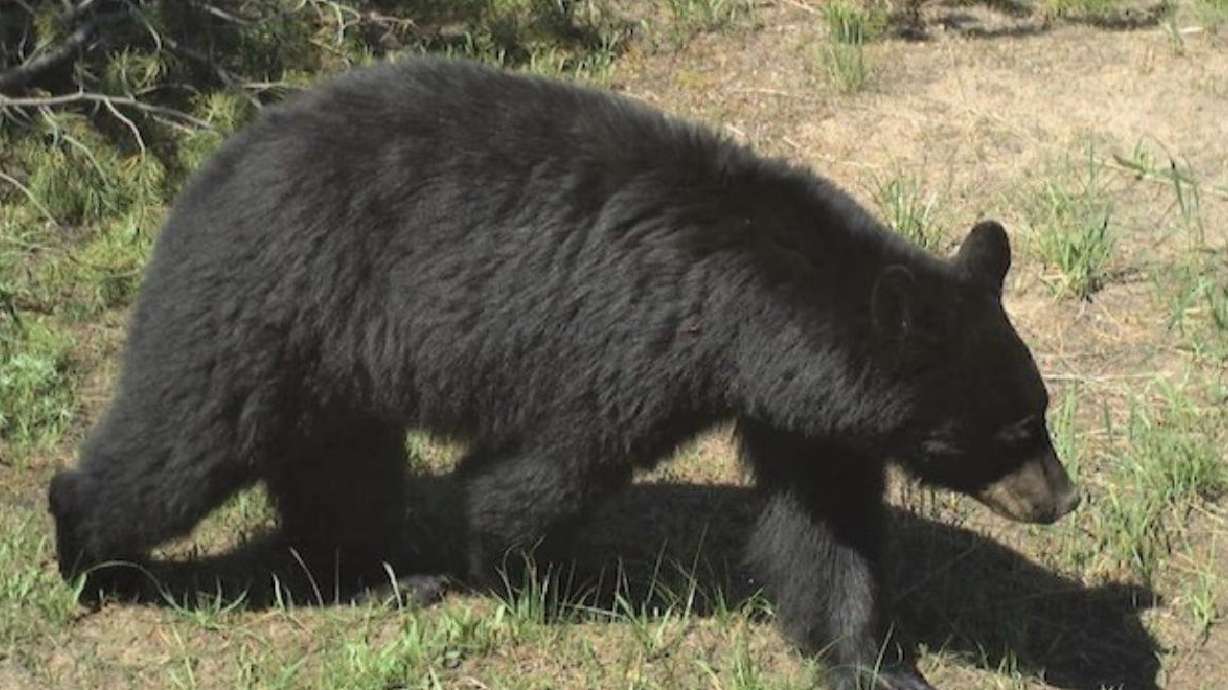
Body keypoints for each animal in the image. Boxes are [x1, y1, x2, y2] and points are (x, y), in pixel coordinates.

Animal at [48, 57, 1080, 690]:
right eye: (1011, 430)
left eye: (1040, 411)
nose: (1063, 497)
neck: (752, 310)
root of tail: (215, 162)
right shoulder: (630, 346)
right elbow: (544, 469)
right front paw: (531, 577)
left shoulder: (802, 411)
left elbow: (826, 531)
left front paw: (875, 659)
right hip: (271, 298)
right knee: (181, 442)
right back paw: (91, 556)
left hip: (333, 354)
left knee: (338, 466)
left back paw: (380, 576)